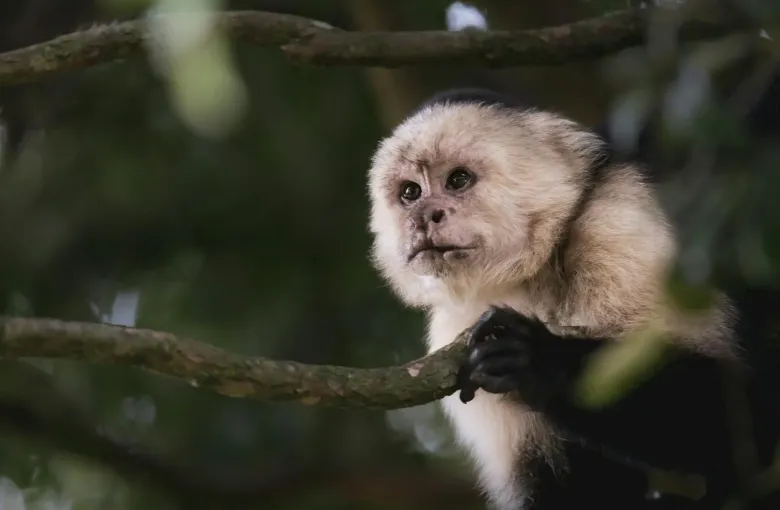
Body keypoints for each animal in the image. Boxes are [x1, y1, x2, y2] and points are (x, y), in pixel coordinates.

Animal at [366, 87, 780, 510]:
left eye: (458, 179)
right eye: (410, 192)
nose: (423, 216)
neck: (535, 270)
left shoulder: (621, 228)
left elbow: (752, 412)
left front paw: (536, 358)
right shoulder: (454, 329)